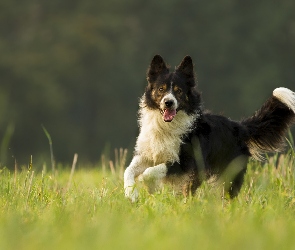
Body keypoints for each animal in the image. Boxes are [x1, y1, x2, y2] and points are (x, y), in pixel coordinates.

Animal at [124, 54, 295, 201]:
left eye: (179, 91)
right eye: (161, 89)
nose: (168, 102)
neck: (167, 126)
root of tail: (239, 126)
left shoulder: (186, 162)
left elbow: (149, 173)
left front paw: (150, 188)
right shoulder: (148, 154)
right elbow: (128, 170)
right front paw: (131, 194)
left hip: (225, 174)